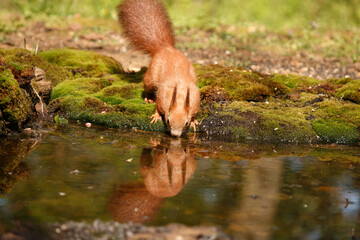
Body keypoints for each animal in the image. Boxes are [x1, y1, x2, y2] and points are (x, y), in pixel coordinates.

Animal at [119, 0, 201, 137]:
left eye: (186, 123)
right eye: (168, 120)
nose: (175, 135)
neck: (180, 97)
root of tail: (165, 48)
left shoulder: (194, 100)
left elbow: (194, 113)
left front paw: (194, 121)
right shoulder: (163, 96)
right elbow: (158, 106)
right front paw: (156, 115)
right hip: (151, 76)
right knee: (147, 86)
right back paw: (148, 98)